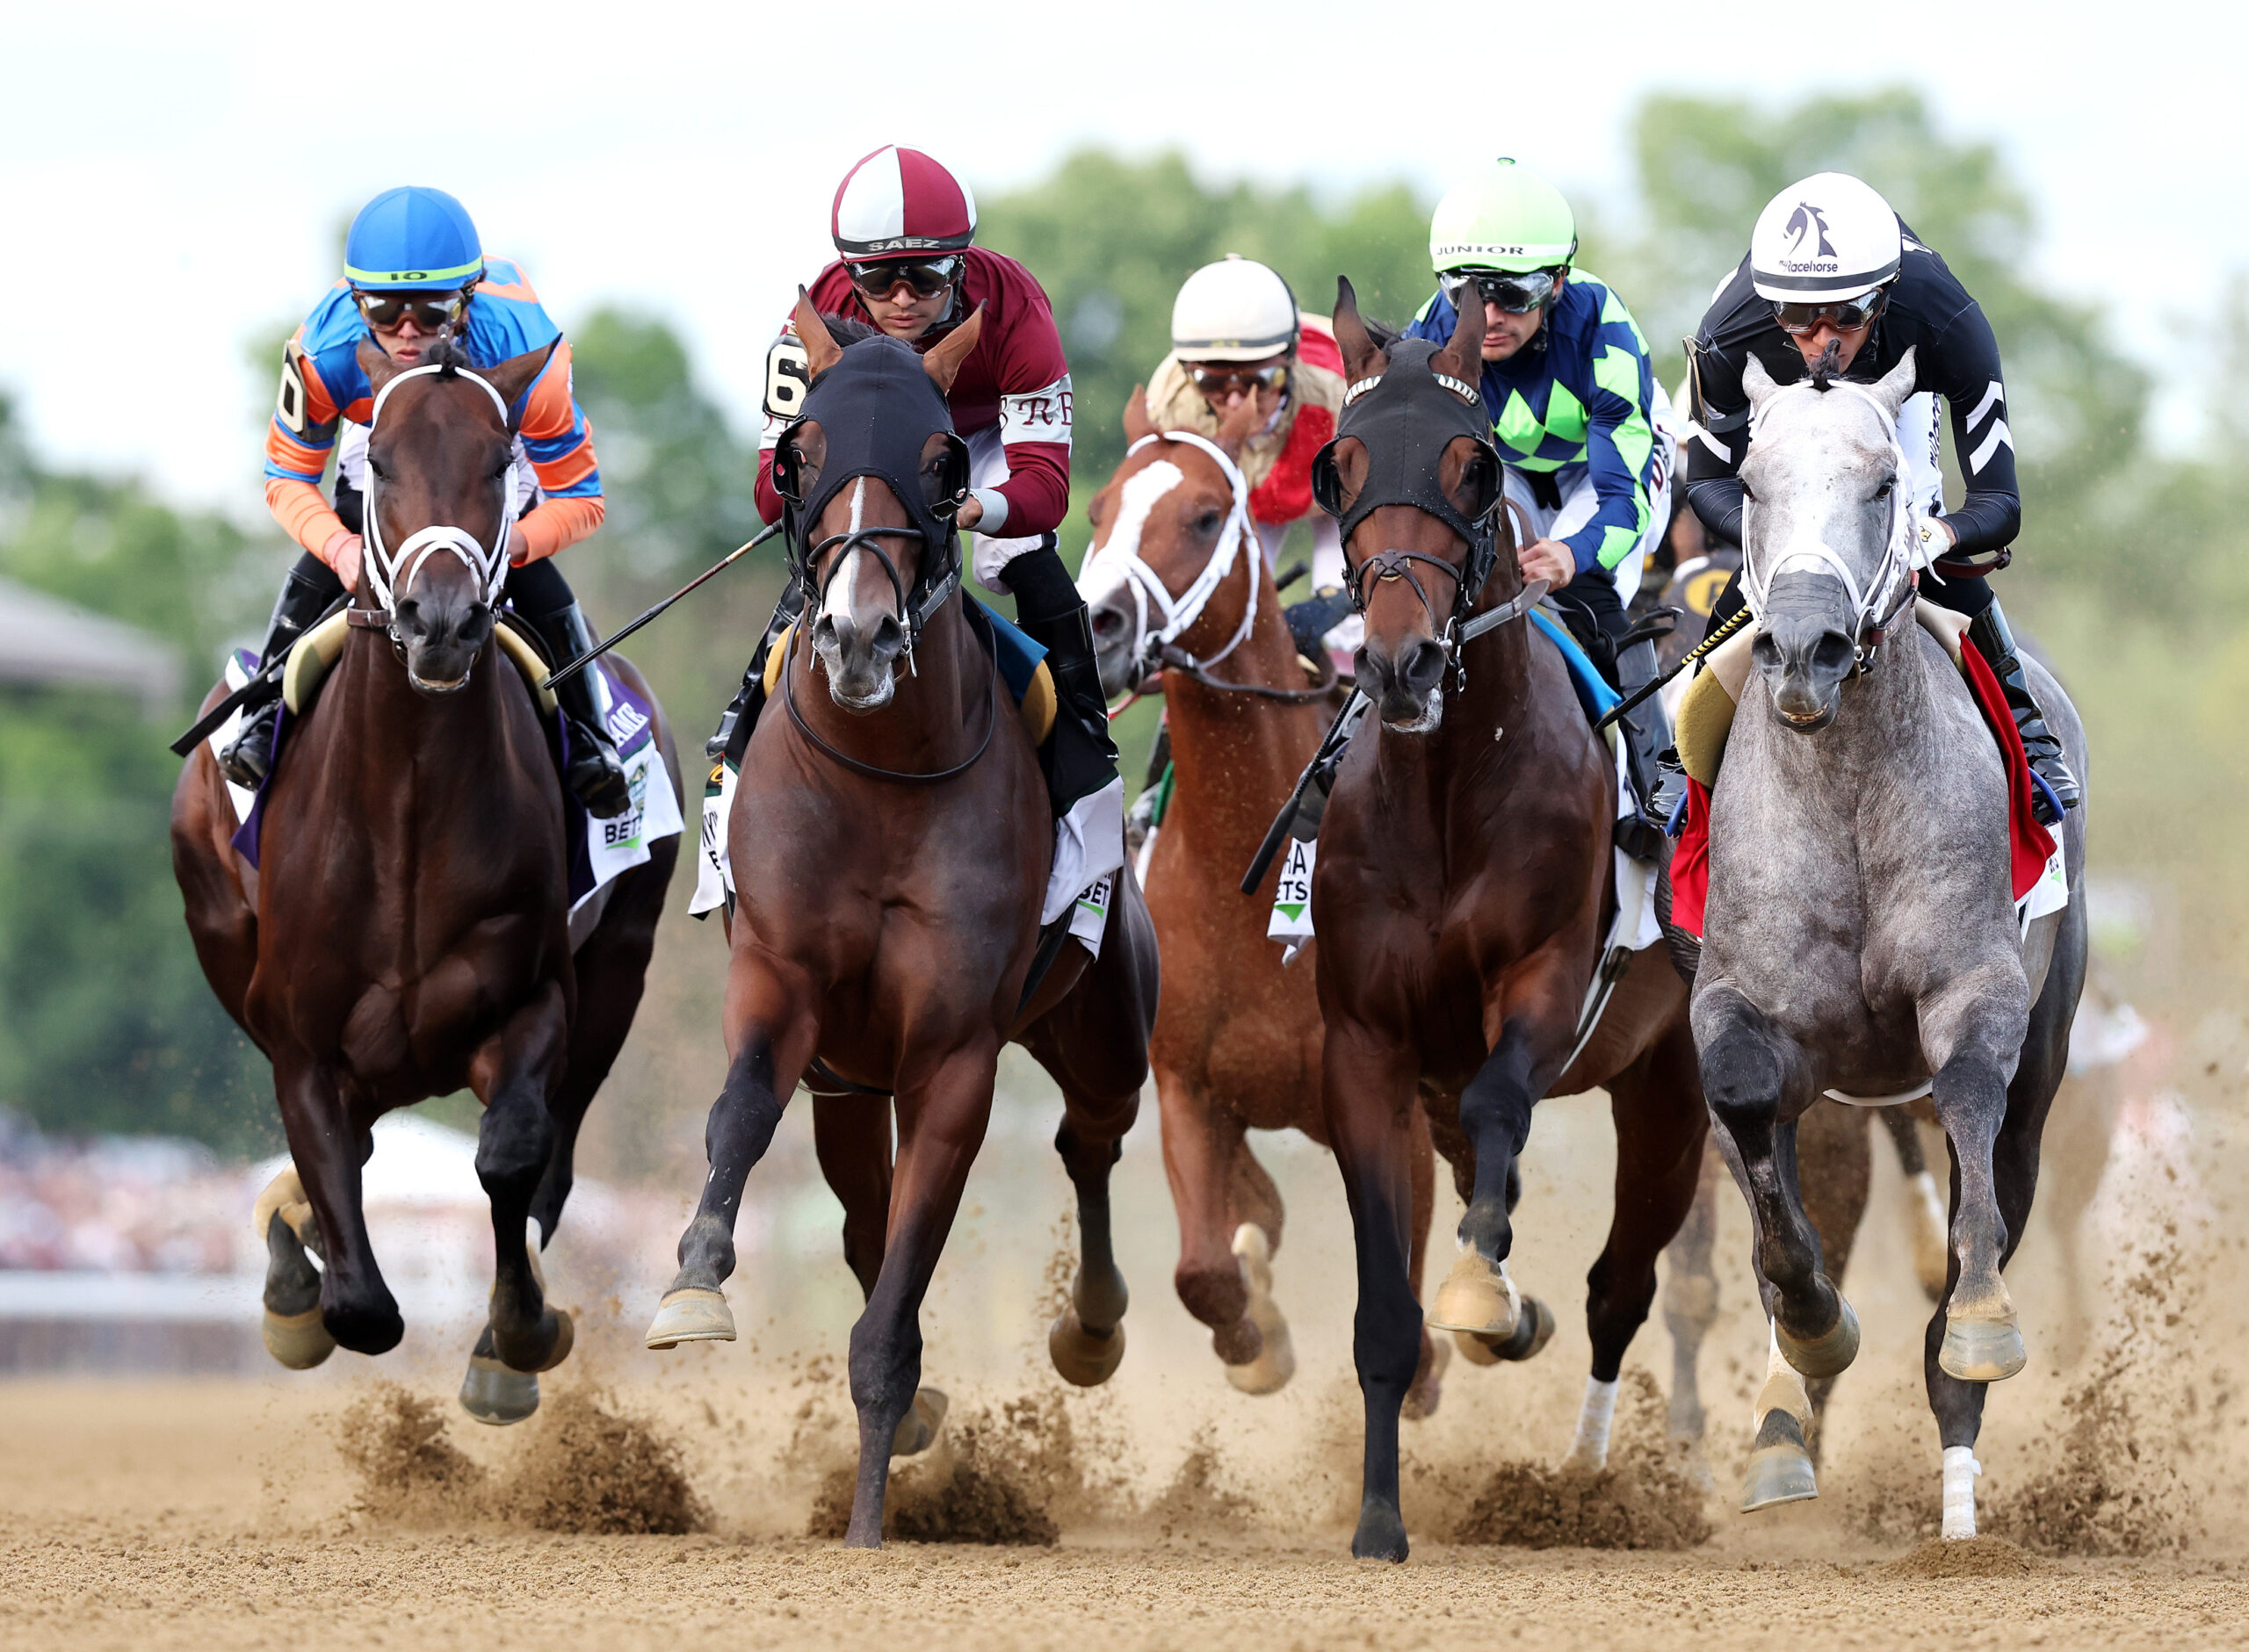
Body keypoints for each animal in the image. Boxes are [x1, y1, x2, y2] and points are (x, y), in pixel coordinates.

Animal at [170, 336, 675, 1420]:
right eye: (384, 468)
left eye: (496, 464)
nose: (439, 620)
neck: (405, 807)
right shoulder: (299, 1040)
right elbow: (359, 1300)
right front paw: (297, 1287)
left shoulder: (531, 999)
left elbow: (511, 1154)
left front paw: (514, 1339)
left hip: (620, 968)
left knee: (554, 1155)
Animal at [639, 296, 1151, 1546]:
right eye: (801, 452)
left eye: (938, 465)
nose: (858, 638)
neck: (881, 774)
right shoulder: (782, 987)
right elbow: (736, 1120)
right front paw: (692, 1286)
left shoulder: (953, 1057)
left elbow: (893, 1314)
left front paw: (870, 1526)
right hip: (845, 1084)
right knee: (862, 1217)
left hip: (1103, 1030)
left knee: (1091, 1136)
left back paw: (1092, 1325)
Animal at [1079, 397, 1448, 1411]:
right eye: (1098, 510)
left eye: (1206, 517)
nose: (1099, 627)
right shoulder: (1188, 1089)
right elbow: (1205, 1268)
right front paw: (1259, 1340)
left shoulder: (1396, 1105)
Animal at [1304, 284, 1700, 1564]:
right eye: (1339, 463)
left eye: (1473, 468)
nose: (1397, 661)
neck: (1443, 796)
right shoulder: (1367, 1048)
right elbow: (1387, 1308)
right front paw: (1379, 1521)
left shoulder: (1540, 982)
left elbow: (1500, 1112)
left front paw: (1485, 1296)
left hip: (1673, 1083)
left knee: (1621, 1284)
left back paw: (1584, 1473)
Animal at [1691, 346, 2078, 1537]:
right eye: (1753, 483)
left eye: (1881, 487)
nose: (1804, 648)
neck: (1849, 790)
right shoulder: (1735, 1009)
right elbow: (1753, 1146)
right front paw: (1812, 1334)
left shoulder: (1972, 986)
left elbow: (1970, 1111)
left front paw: (1981, 1322)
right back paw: (1780, 1429)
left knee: (1997, 1164)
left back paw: (1955, 1496)